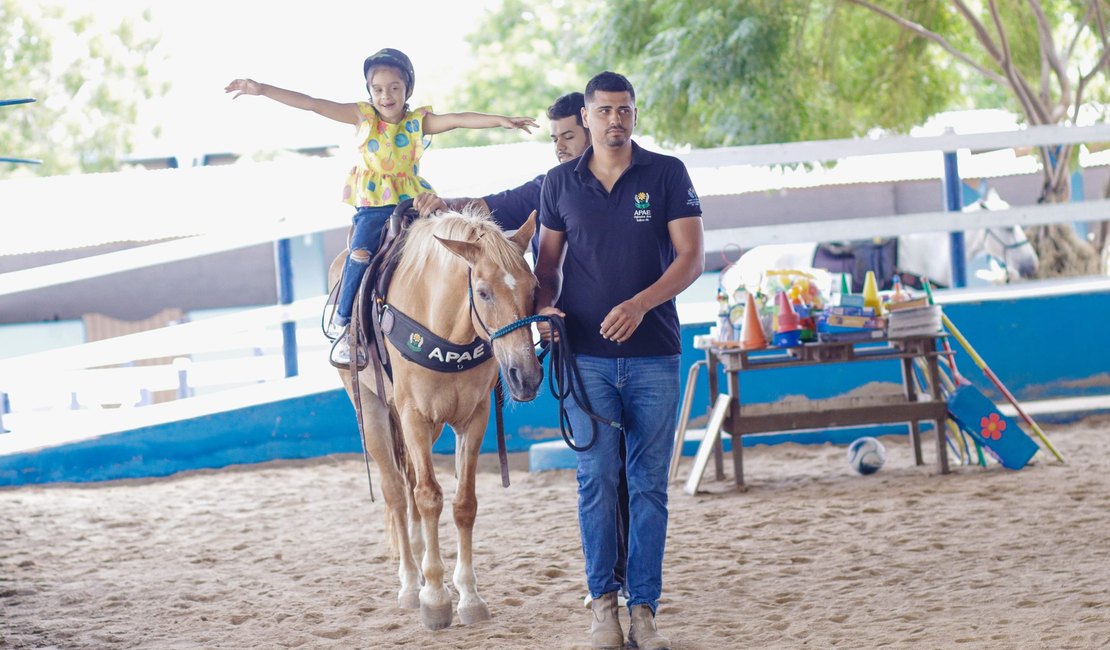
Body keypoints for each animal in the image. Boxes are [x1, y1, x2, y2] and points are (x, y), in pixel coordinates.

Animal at [324, 207, 541, 625]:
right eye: (483, 291)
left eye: (533, 287)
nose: (527, 376)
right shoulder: (414, 416)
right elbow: (428, 498)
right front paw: (436, 598)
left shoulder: (474, 417)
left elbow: (463, 503)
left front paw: (469, 596)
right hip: (372, 411)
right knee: (396, 491)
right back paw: (411, 584)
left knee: (409, 486)